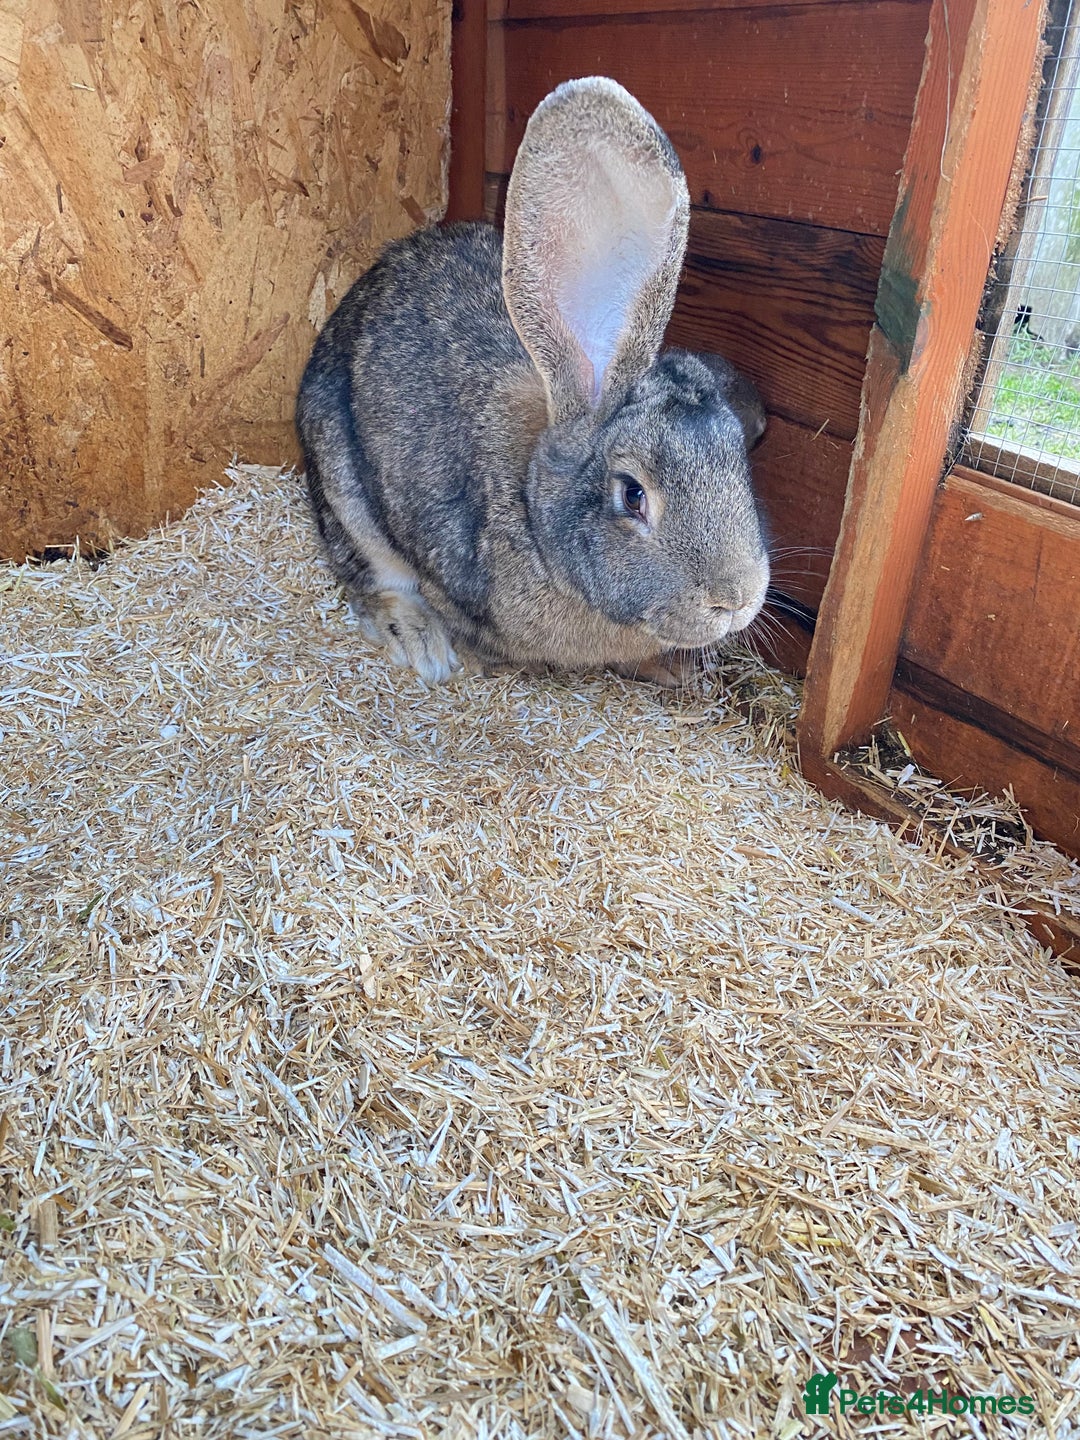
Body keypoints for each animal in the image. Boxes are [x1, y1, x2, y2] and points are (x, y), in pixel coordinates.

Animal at [295, 76, 770, 687]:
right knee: (368, 576)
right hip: (343, 487)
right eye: (632, 494)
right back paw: (421, 641)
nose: (736, 598)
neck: (532, 510)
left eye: (741, 458)